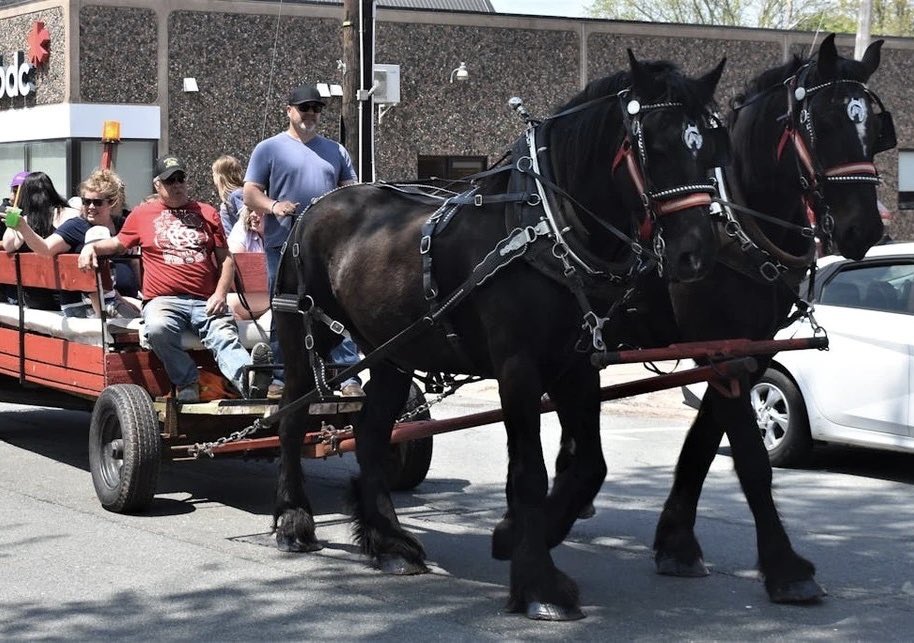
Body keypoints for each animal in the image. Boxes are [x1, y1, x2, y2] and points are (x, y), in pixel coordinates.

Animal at [270, 51, 727, 621]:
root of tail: (314, 206)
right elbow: (529, 472)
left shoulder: (576, 364)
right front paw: (540, 584)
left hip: (390, 350)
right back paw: (295, 520)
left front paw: (517, 538)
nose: (696, 254)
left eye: (710, 146)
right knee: (291, 414)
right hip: (305, 330)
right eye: (656, 146)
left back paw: (390, 542)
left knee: (372, 432)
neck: (547, 227)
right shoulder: (517, 366)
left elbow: (589, 466)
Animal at [557, 34, 892, 603]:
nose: (864, 227)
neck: (737, 220)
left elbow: (704, 440)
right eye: (823, 122)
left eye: (874, 126)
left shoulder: (747, 350)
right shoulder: (720, 344)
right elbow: (752, 460)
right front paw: (785, 567)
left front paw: (675, 541)